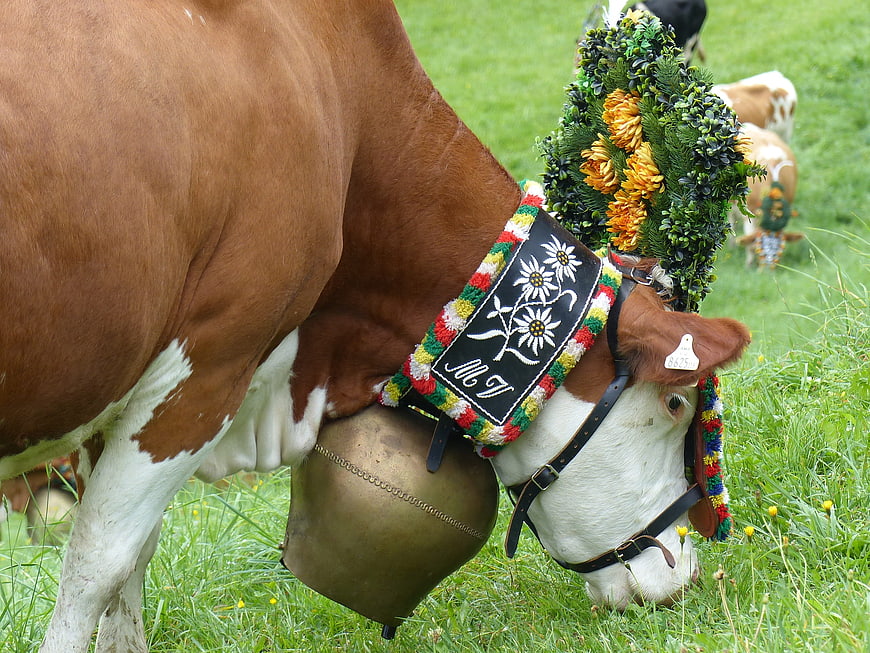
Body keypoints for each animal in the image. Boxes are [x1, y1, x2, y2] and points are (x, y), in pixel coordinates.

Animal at [0, 2, 750, 651]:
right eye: (677, 404)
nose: (681, 574)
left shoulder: (123, 403)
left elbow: (134, 560)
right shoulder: (208, 368)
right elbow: (98, 561)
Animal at [732, 123, 802, 267]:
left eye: (781, 248)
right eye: (760, 247)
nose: (768, 269)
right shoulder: (749, 214)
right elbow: (749, 240)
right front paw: (749, 263)